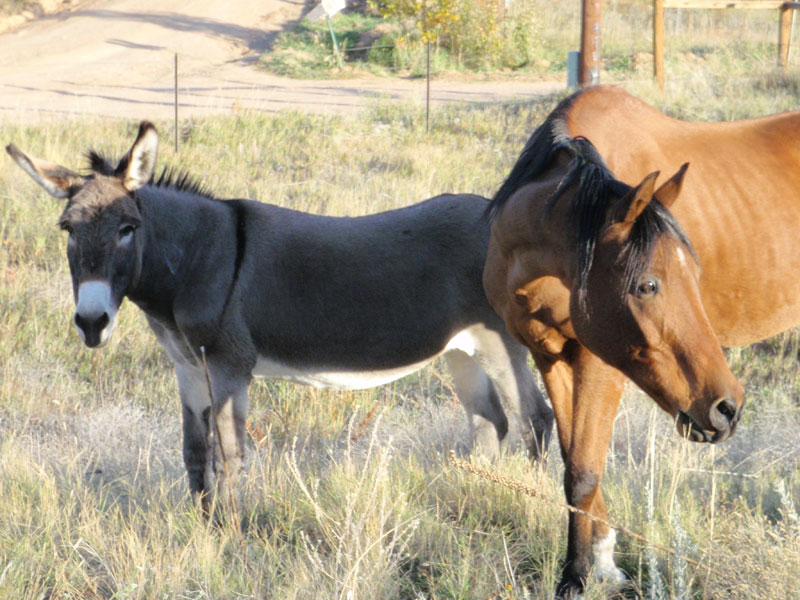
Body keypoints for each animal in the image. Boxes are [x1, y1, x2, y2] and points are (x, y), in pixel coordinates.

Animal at [484, 96, 748, 592]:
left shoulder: (597, 359)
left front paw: (579, 572)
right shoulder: (547, 355)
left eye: (696, 275)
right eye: (647, 285)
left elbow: (584, 467)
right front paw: (592, 563)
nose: (728, 408)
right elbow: (574, 460)